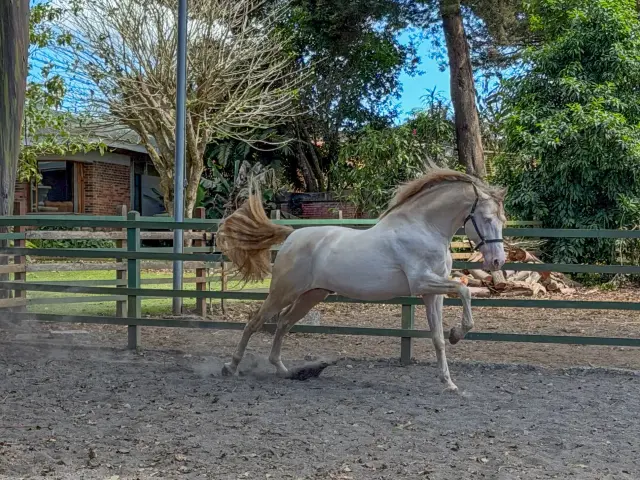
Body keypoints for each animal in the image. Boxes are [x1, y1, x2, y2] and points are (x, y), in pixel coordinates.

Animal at [216, 169, 506, 391]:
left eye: (502, 219)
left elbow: (437, 337)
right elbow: (464, 290)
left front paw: (448, 382)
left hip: (312, 294)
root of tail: (291, 236)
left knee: (284, 323)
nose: (497, 261)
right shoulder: (422, 282)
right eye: (487, 218)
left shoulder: (431, 293)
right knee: (255, 322)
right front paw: (457, 334)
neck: (424, 228)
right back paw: (230, 366)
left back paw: (282, 369)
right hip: (283, 292)